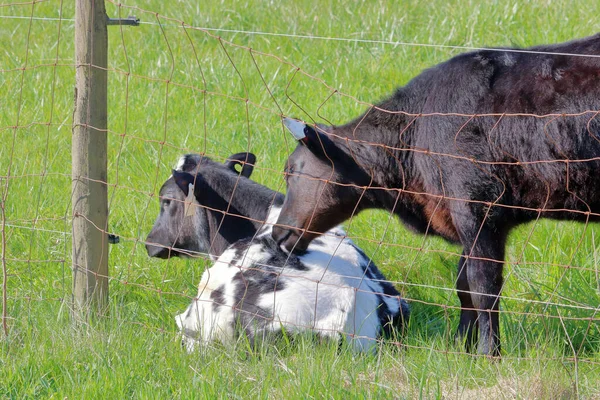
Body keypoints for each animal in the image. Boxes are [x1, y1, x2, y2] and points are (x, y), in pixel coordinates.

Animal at [274, 32, 600, 356]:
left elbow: (483, 287)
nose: (277, 234)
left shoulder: (477, 209)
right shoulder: (462, 214)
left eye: (292, 170)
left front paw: (488, 353)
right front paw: (460, 346)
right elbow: (463, 285)